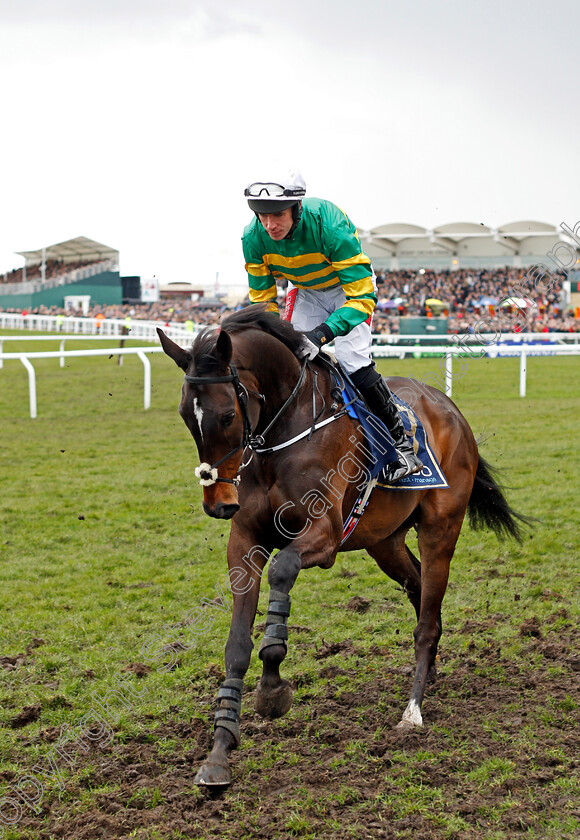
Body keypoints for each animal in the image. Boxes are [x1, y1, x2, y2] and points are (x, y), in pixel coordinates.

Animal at [157, 306, 524, 788]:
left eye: (224, 416)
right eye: (186, 415)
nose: (217, 503)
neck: (285, 432)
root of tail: (449, 409)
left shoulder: (325, 534)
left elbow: (283, 571)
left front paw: (272, 686)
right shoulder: (245, 544)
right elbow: (236, 645)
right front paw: (219, 752)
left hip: (441, 528)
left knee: (427, 617)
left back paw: (412, 710)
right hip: (385, 542)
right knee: (420, 592)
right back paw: (431, 673)